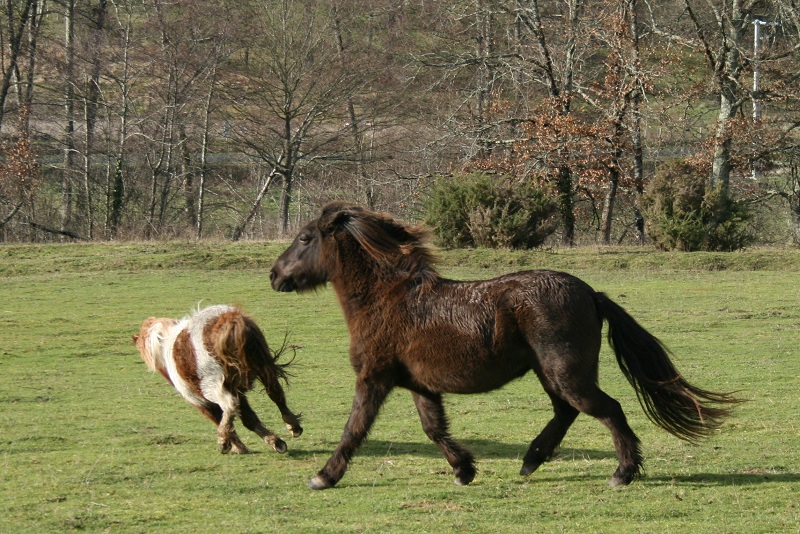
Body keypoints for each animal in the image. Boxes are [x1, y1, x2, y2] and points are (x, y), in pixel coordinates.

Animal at [133, 306, 302, 456]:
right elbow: (249, 419)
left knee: (229, 405)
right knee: (276, 394)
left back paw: (223, 440)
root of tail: (228, 321)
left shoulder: (202, 402)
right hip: (264, 369)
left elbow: (221, 417)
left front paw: (236, 446)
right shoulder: (238, 393)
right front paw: (275, 442)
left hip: (213, 388)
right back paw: (293, 425)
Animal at [268, 203, 736, 492]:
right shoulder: (419, 384)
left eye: (306, 238)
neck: (388, 299)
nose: (275, 275)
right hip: (551, 374)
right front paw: (464, 470)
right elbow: (434, 428)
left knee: (607, 409)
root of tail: (590, 293)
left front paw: (324, 476)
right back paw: (531, 460)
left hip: (566, 373)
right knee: (566, 413)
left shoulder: (374, 377)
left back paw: (622, 473)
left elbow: (355, 428)